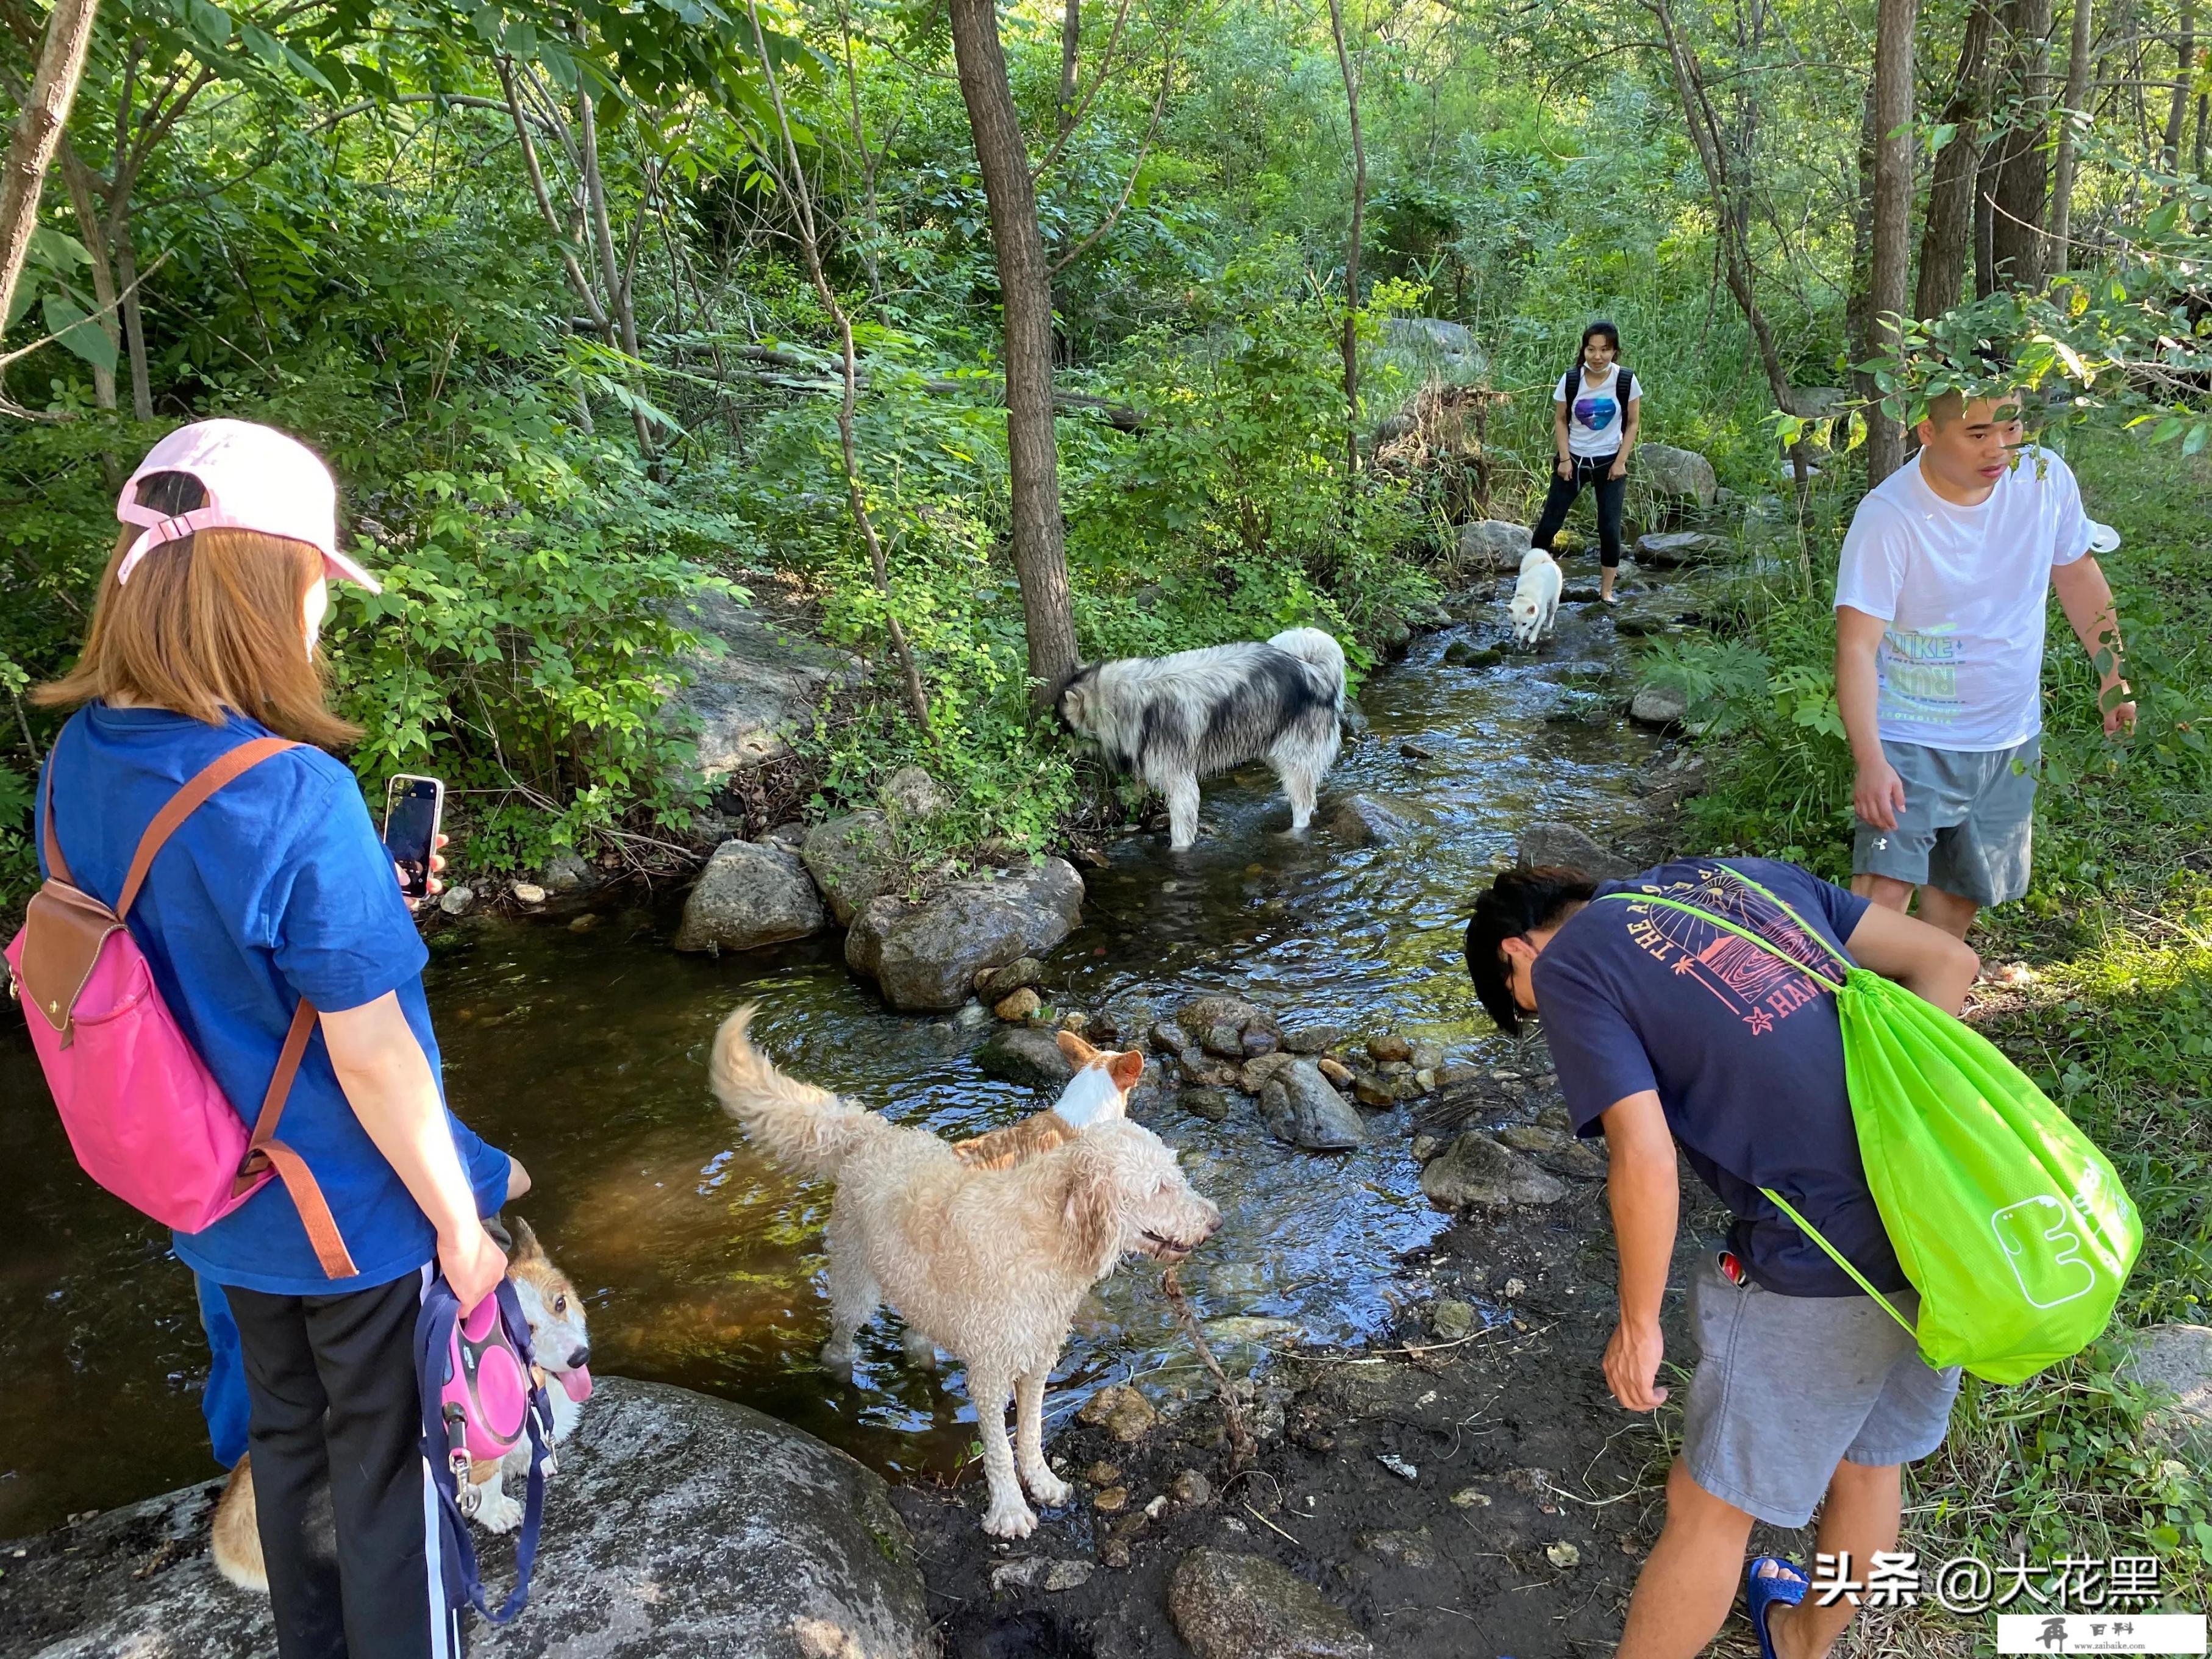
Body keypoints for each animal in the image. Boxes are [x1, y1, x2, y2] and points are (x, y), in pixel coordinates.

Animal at [212, 1221, 597, 1601]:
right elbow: (486, 1480)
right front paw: (499, 1511)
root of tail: (222, 1541)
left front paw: (539, 1462)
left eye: (560, 1303)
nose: (580, 1357)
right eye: (525, 1330)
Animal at [712, 1008, 1221, 1539]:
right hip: (856, 1279)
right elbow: (997, 1447)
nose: (1216, 1221)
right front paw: (1010, 1509)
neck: (1045, 1237)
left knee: (915, 1333)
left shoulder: (1037, 1358)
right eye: (1160, 1187)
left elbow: (1031, 1428)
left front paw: (1042, 1481)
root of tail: (874, 1132)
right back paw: (841, 1377)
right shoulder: (990, 1371)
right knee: (841, 1340)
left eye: (1174, 1176)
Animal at [1513, 546, 1566, 650]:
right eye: (1514, 623)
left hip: (1555, 601)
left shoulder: (1543, 612)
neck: (1527, 595)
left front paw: (1532, 638)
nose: (1516, 637)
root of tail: (1548, 562)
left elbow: (1538, 625)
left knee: (1552, 615)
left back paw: (1548, 628)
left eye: (1524, 623)